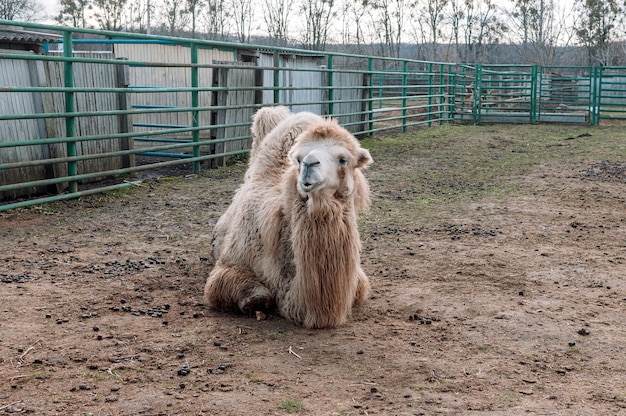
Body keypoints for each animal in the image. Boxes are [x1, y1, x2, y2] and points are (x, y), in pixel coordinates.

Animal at [205, 107, 370, 328]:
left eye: (344, 159)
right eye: (299, 159)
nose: (309, 164)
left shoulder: (357, 280)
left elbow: (359, 289)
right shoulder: (231, 263)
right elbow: (255, 297)